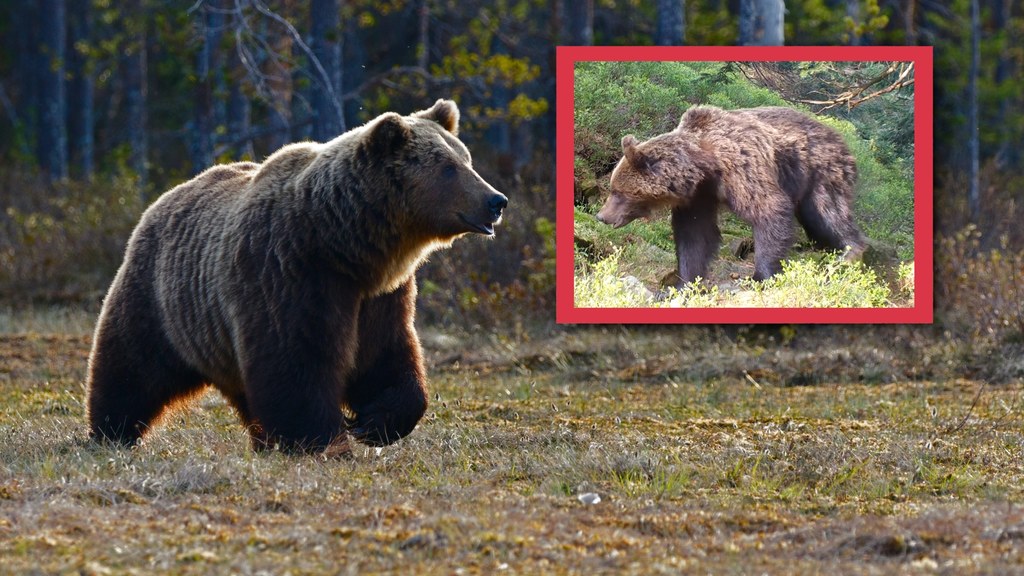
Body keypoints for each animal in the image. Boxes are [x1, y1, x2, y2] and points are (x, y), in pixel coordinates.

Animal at [86, 99, 505, 453]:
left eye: (466, 159)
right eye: (448, 168)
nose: (496, 200)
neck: (345, 245)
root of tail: (164, 198)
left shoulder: (380, 295)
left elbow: (386, 354)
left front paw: (374, 422)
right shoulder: (290, 273)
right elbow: (296, 362)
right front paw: (323, 440)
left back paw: (262, 440)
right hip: (162, 298)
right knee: (131, 366)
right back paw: (111, 431)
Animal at [598, 105, 868, 284]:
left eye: (617, 191)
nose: (601, 216)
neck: (705, 166)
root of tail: (841, 137)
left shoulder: (742, 169)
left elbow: (770, 209)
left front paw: (761, 275)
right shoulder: (699, 197)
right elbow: (695, 235)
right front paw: (686, 280)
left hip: (820, 171)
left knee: (828, 213)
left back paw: (849, 253)